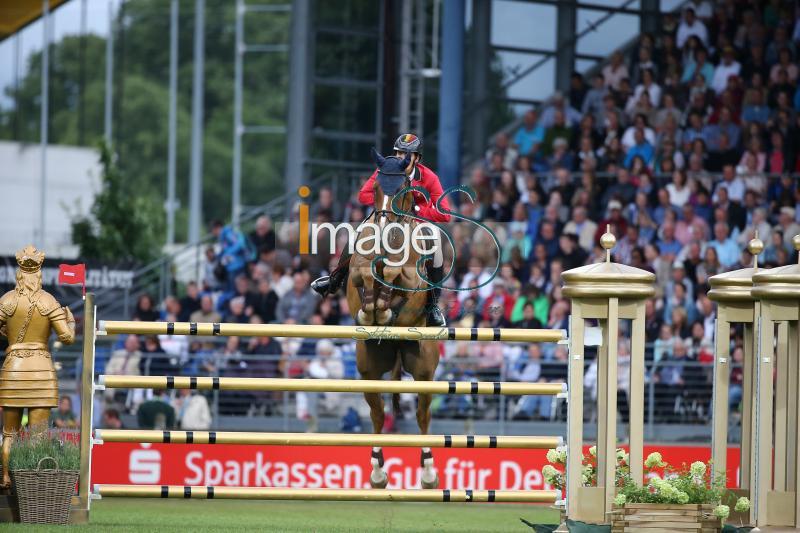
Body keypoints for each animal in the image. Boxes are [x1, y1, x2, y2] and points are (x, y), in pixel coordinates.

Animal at [346, 148, 440, 488]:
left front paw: (383, 306)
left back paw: (428, 472)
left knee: (423, 415)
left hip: (424, 368)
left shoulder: (413, 282)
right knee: (377, 413)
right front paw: (371, 309)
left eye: (402, 190)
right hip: (369, 369)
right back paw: (377, 471)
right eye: (375, 187)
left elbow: (393, 275)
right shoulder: (355, 275)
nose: (385, 226)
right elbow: (365, 277)